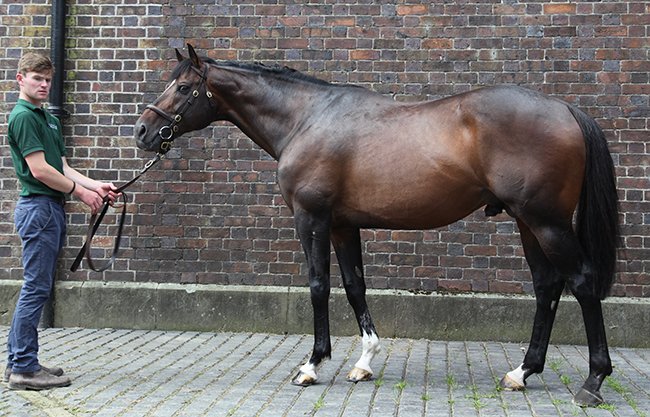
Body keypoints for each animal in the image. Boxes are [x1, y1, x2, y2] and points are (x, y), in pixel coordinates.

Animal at [134, 44, 619, 407]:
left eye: (182, 87)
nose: (142, 131)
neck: (306, 119)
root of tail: (564, 108)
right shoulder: (342, 226)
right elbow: (354, 286)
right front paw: (364, 362)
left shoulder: (311, 218)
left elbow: (318, 285)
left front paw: (312, 365)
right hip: (527, 223)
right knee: (547, 287)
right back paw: (522, 371)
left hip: (546, 222)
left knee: (582, 281)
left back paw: (593, 382)